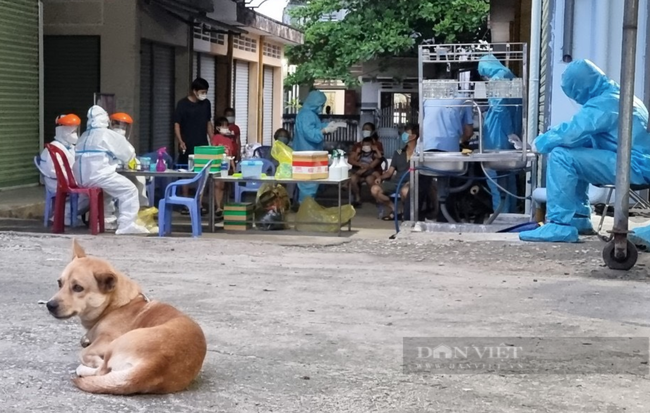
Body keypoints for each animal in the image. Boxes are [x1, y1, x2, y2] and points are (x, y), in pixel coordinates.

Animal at [45, 240, 205, 394]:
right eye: (59, 283)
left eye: (78, 288)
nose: (49, 305)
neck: (114, 307)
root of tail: (152, 366)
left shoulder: (105, 340)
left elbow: (84, 353)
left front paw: (93, 358)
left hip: (114, 345)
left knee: (102, 370)